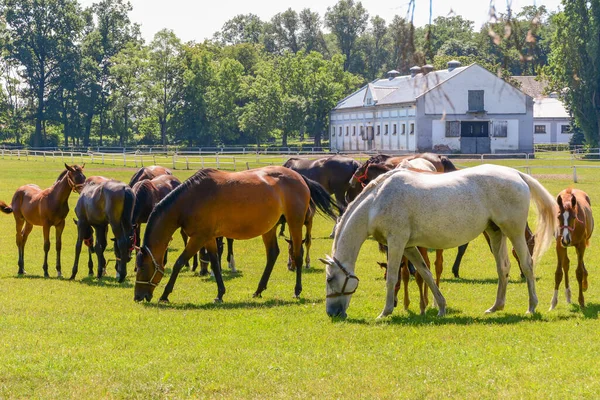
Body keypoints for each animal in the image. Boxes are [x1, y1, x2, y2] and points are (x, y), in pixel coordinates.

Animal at [133, 166, 338, 304]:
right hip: (270, 228)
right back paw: (258, 290)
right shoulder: (208, 237)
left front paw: (165, 294)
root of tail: (299, 177)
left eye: (142, 267)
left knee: (297, 254)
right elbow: (214, 262)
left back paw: (297, 290)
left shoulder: (198, 237)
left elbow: (179, 263)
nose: (138, 297)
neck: (190, 199)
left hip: (295, 223)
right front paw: (220, 293)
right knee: (273, 254)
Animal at [322, 163, 560, 318]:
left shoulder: (396, 243)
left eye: (330, 279)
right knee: (503, 267)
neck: (376, 201)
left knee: (527, 264)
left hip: (514, 232)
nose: (332, 313)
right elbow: (426, 274)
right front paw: (441, 307)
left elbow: (392, 277)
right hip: (495, 233)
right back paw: (496, 307)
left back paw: (532, 306)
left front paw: (386, 311)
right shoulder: (409, 247)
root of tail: (516, 174)